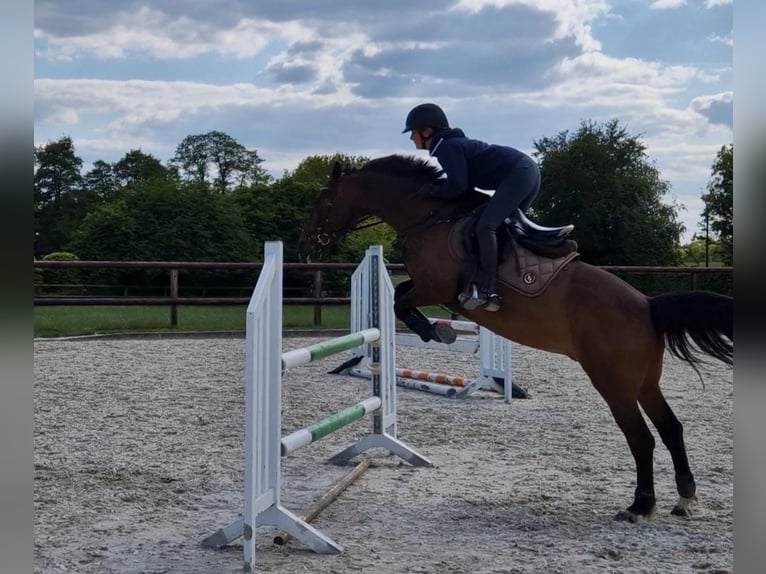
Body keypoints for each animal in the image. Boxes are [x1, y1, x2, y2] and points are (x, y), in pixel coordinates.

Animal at [296, 155, 736, 524]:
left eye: (323, 198)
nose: (306, 244)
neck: (429, 216)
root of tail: (648, 305)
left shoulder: (436, 286)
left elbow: (400, 300)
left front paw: (434, 330)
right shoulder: (429, 286)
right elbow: (400, 298)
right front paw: (437, 329)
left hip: (614, 384)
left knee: (641, 438)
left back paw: (639, 506)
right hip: (644, 383)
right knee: (671, 428)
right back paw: (684, 499)